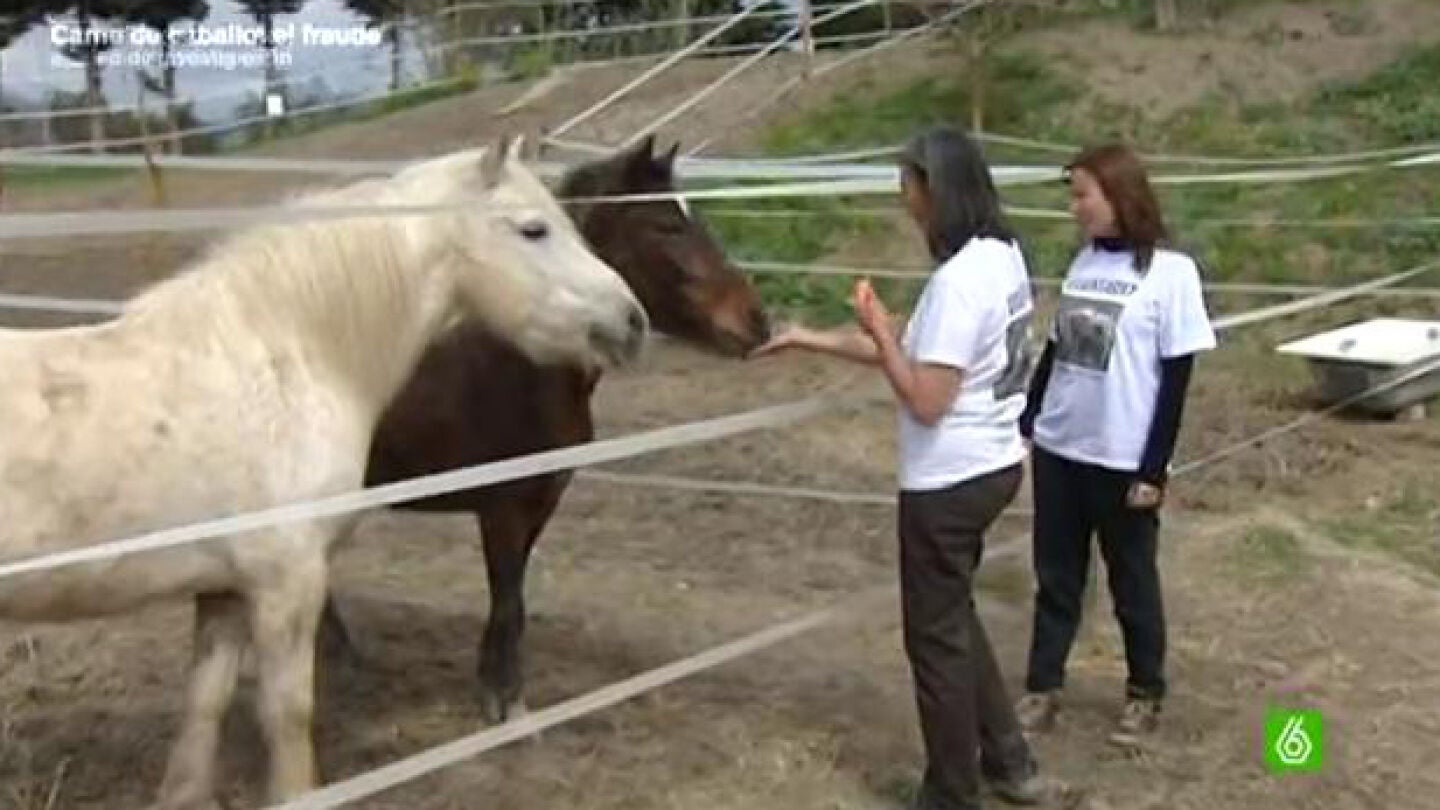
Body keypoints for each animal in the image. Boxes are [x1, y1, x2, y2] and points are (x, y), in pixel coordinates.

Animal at [0, 136, 647, 810]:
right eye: (533, 229)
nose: (631, 319)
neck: (283, 358)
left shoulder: (225, 590)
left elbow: (206, 703)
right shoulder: (288, 583)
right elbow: (288, 713)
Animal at [321, 134, 772, 723]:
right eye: (663, 225)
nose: (756, 321)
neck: (520, 366)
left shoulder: (539, 504)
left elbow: (513, 601)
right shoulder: (503, 509)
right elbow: (507, 599)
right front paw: (505, 701)